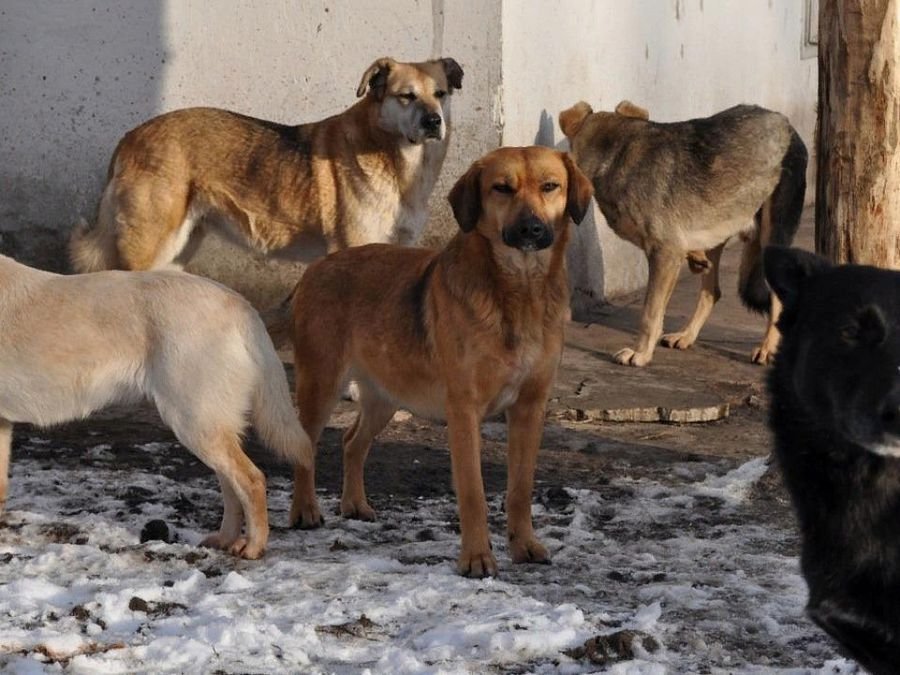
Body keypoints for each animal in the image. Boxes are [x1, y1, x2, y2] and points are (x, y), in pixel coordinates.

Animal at [0, 254, 316, 560]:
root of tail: (240, 303)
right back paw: (226, 539)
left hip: (194, 422)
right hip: (208, 427)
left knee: (252, 480)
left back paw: (253, 546)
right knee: (231, 485)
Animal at [69, 55, 464, 272]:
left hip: (178, 250)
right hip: (149, 247)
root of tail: (130, 137)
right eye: (406, 96)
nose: (433, 122)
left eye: (440, 94)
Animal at [286, 145, 592, 580]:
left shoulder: (530, 408)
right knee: (305, 447)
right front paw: (476, 558)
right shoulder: (464, 410)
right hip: (321, 384)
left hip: (386, 395)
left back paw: (354, 504)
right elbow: (473, 492)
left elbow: (520, 489)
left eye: (551, 186)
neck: (518, 291)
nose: (531, 229)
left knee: (351, 442)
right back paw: (305, 511)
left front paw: (524, 546)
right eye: (501, 188)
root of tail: (314, 269)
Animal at [560, 97, 804, 368]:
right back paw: (687, 334)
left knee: (779, 297)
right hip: (717, 224)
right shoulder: (672, 253)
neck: (614, 154)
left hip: (772, 237)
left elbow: (649, 313)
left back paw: (767, 348)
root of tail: (786, 123)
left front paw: (641, 353)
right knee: (713, 291)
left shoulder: (664, 254)